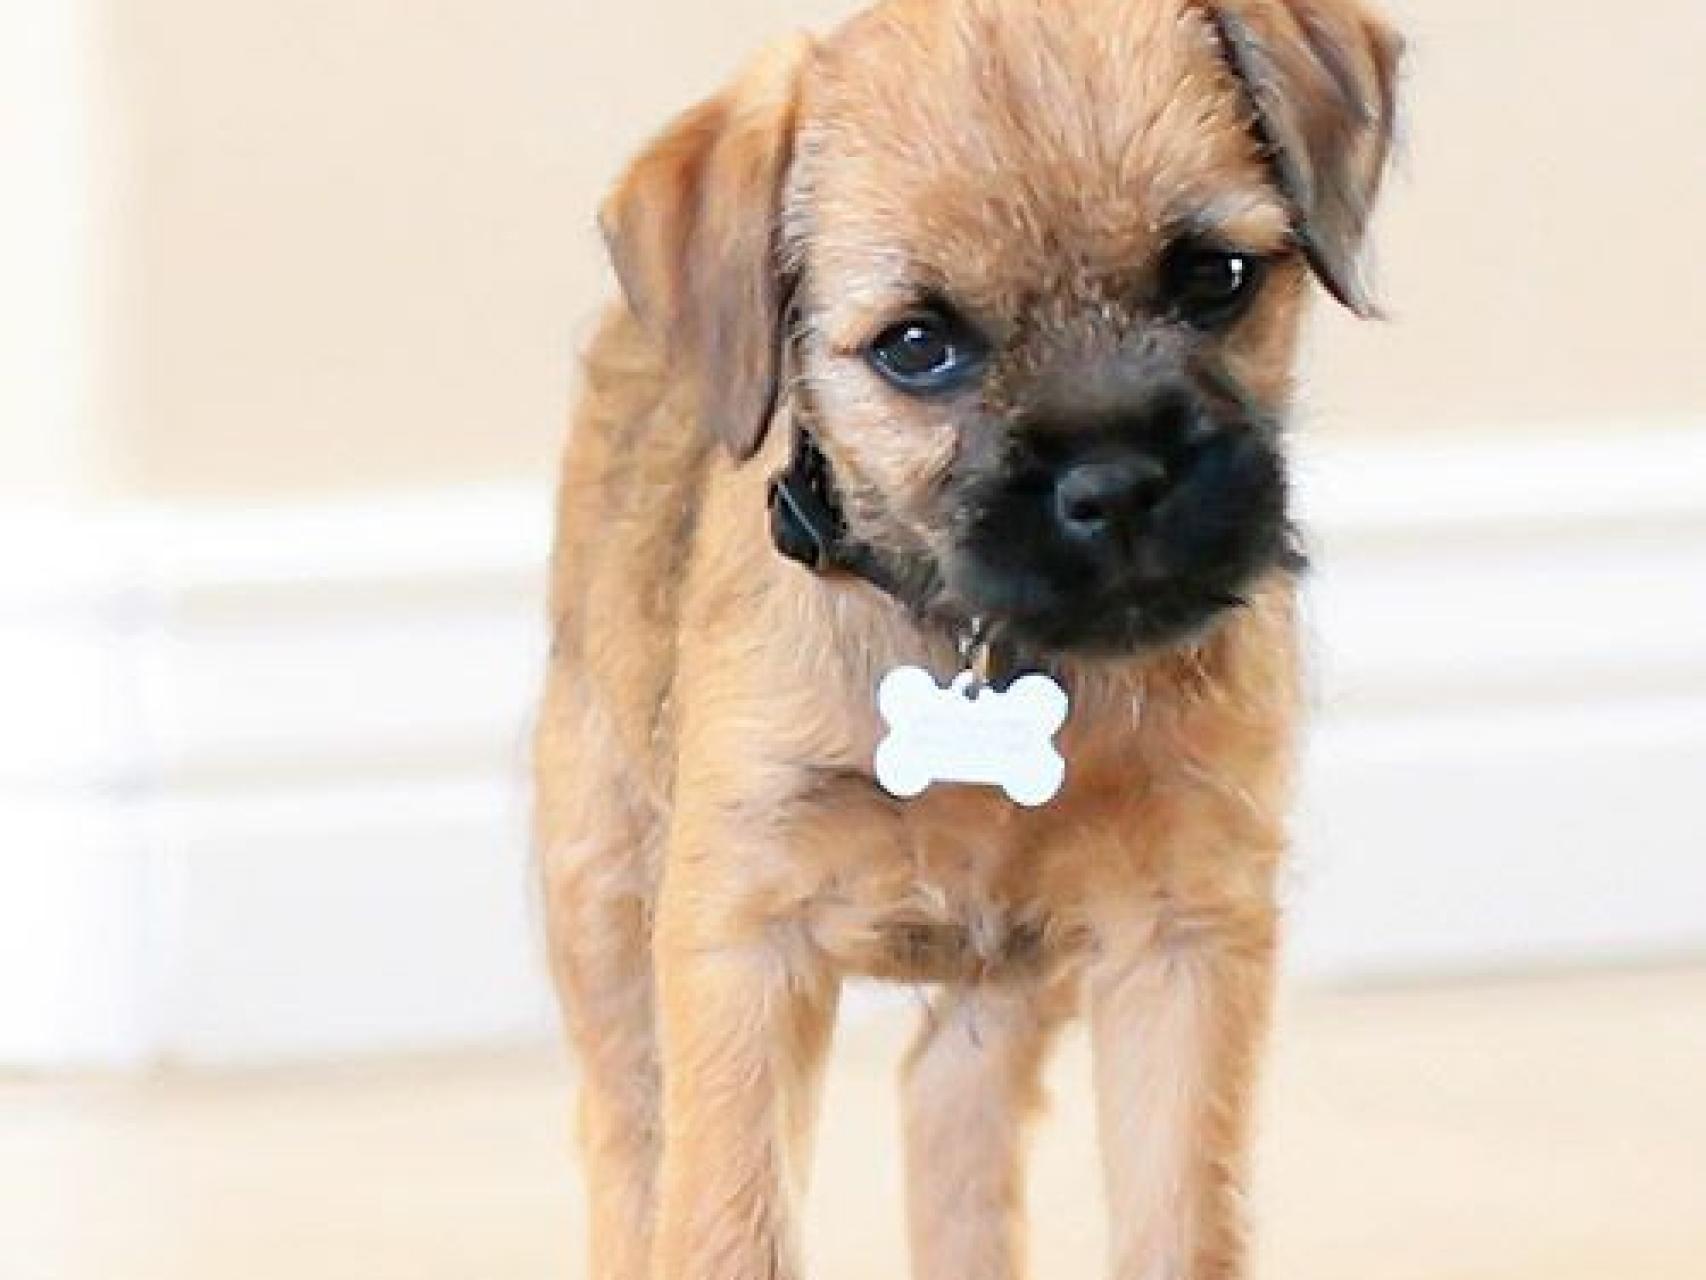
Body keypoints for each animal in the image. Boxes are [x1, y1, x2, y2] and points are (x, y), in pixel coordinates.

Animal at [535, 1, 1401, 1276]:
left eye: (1214, 278)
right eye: (915, 346)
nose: (1116, 482)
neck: (981, 649)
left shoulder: (1185, 941)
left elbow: (1179, 1217)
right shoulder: (741, 940)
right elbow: (724, 1221)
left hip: (1001, 995)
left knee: (947, 1108)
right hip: (602, 893)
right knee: (627, 1140)